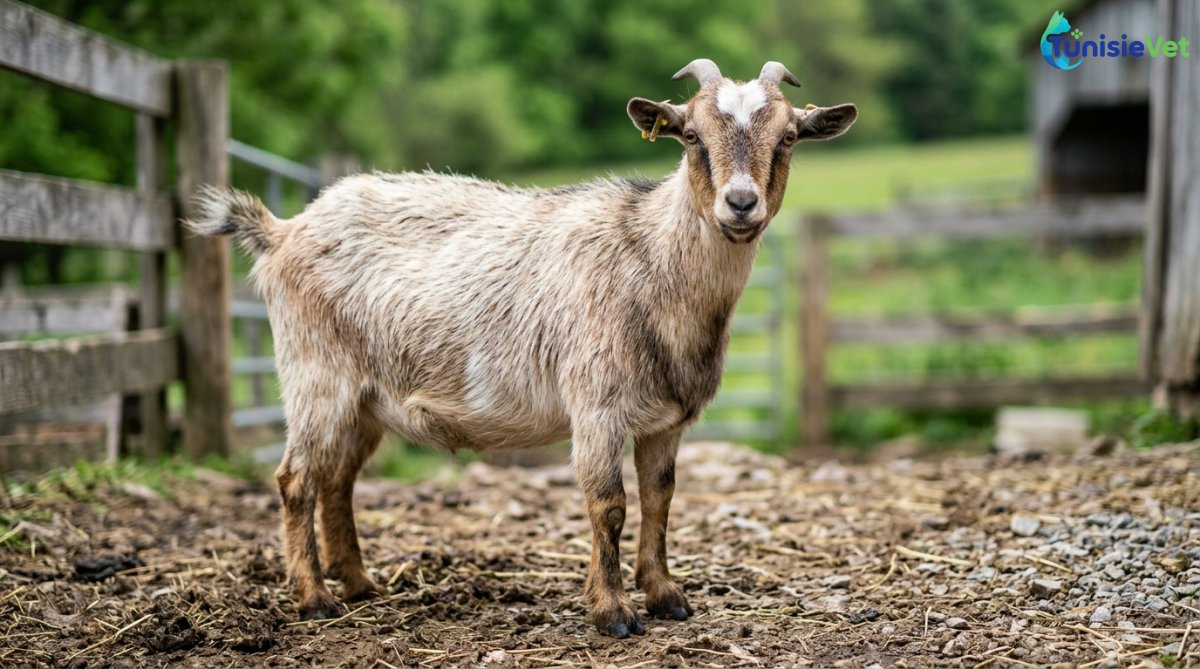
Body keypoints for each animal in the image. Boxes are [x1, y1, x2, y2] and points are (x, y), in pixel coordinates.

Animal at [187, 58, 856, 638]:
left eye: (789, 137)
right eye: (690, 135)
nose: (740, 204)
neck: (648, 257)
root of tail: (283, 231)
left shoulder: (668, 420)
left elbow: (660, 499)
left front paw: (667, 596)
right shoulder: (597, 406)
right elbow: (610, 504)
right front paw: (613, 613)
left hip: (367, 399)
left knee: (338, 481)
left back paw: (358, 585)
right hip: (315, 374)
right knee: (297, 478)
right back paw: (315, 600)